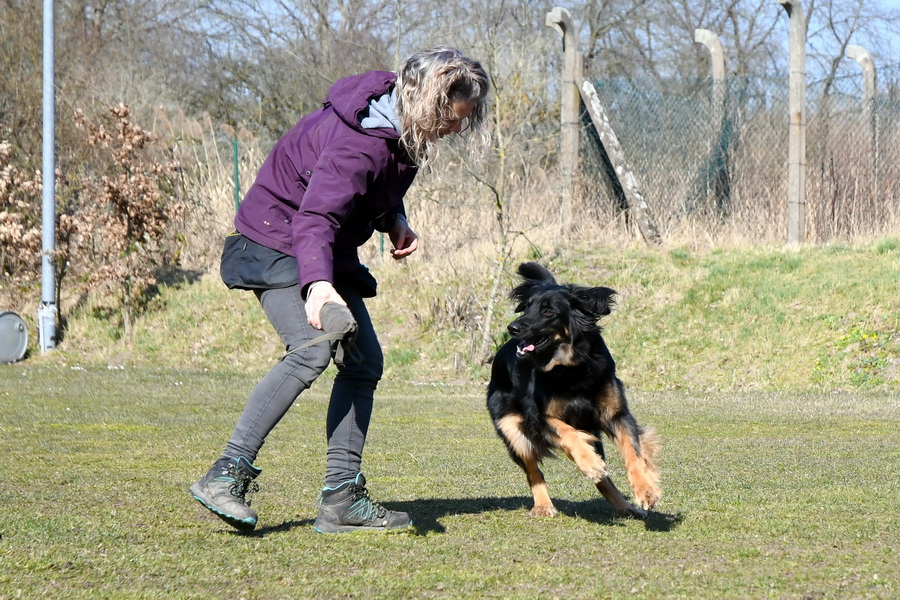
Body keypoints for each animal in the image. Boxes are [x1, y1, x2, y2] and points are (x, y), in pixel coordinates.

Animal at [486, 264, 660, 516]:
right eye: (527, 307)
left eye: (548, 311)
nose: (513, 327)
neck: (570, 368)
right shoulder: (539, 419)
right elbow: (568, 432)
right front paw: (588, 460)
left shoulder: (617, 415)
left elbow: (633, 452)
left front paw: (646, 489)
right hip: (512, 429)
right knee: (533, 471)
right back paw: (543, 505)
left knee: (604, 480)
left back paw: (625, 506)